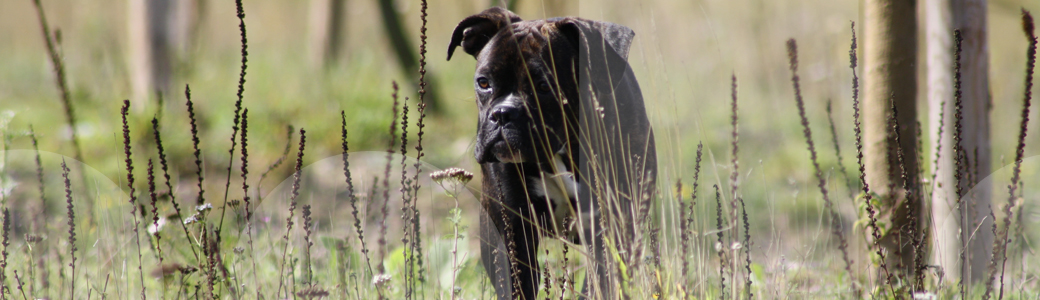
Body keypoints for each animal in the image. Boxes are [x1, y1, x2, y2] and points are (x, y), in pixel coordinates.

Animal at [447, 7, 657, 300]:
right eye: (484, 82)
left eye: (544, 86)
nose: (502, 114)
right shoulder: (511, 235)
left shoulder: (612, 229)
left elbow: (600, 283)